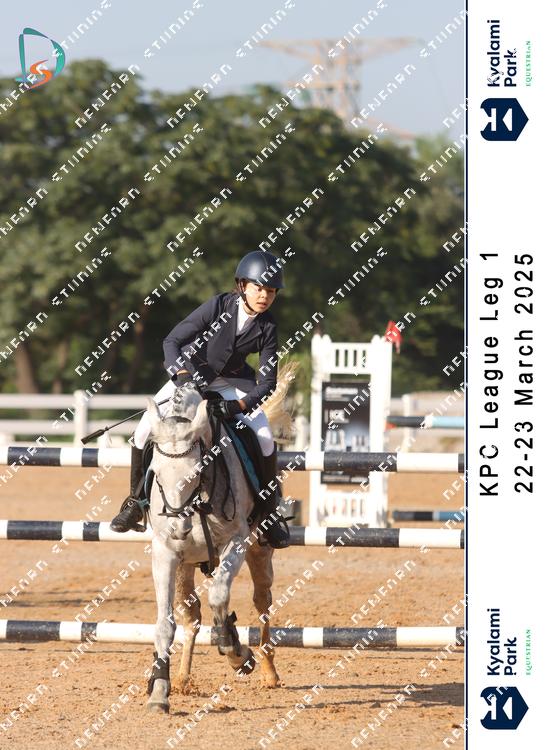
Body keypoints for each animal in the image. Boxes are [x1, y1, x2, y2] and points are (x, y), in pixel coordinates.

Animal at [145, 384, 286, 713]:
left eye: (196, 471)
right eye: (155, 472)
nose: (177, 529)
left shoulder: (236, 541)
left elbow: (220, 595)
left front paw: (236, 652)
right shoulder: (165, 554)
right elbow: (165, 624)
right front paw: (159, 691)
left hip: (259, 553)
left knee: (262, 603)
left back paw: (268, 671)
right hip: (185, 566)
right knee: (191, 617)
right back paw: (182, 679)